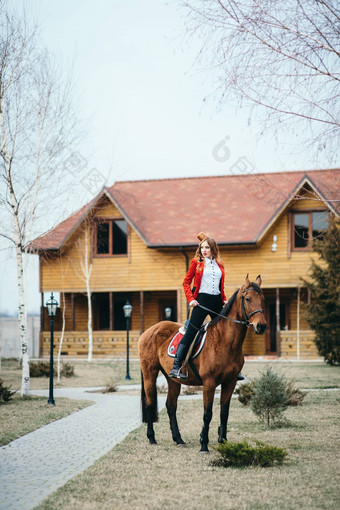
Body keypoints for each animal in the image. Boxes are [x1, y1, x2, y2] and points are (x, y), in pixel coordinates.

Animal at [137, 276, 266, 452]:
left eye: (263, 299)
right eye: (247, 299)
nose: (261, 326)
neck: (224, 341)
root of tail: (150, 330)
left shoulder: (230, 382)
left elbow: (224, 412)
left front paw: (223, 441)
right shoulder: (209, 383)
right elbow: (207, 413)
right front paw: (204, 444)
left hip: (173, 380)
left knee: (171, 406)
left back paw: (178, 439)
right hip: (150, 373)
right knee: (150, 403)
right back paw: (151, 438)